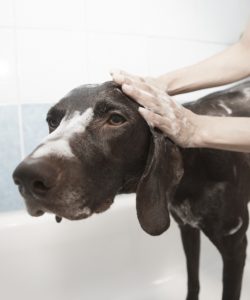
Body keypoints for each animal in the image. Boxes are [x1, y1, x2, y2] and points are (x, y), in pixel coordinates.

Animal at [13, 81, 250, 298]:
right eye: (52, 121)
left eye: (116, 119)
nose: (26, 177)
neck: (197, 160)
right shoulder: (187, 228)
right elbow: (193, 281)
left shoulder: (235, 248)